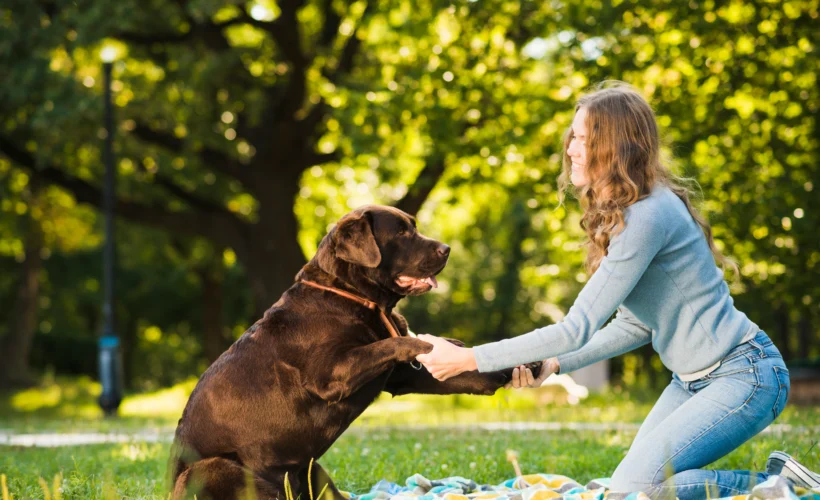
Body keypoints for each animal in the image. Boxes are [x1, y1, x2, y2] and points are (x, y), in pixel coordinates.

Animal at [167, 204, 540, 500]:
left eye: (414, 226)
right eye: (401, 232)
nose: (446, 249)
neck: (355, 297)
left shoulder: (401, 377)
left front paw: (524, 363)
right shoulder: (329, 374)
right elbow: (393, 343)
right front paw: (433, 345)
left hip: (311, 469)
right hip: (212, 468)